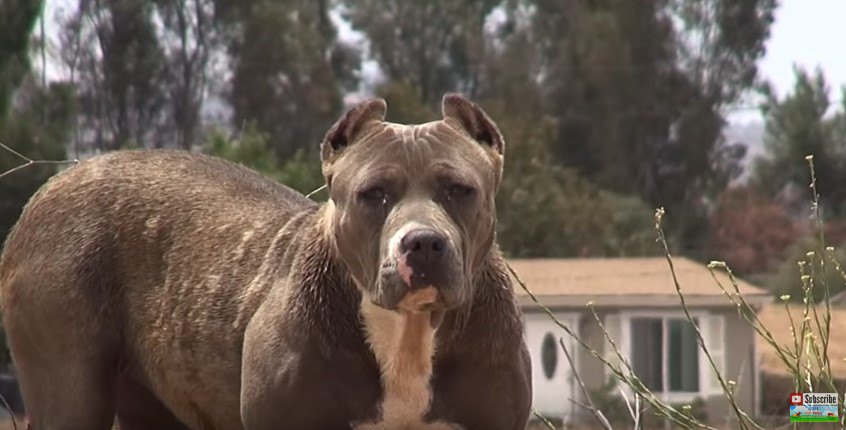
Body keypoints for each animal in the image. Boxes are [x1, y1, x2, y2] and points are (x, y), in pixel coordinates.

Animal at [0, 92, 528, 428]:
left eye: (459, 190)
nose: (422, 243)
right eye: (373, 194)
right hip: (69, 388)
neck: (407, 333)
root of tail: (49, 188)